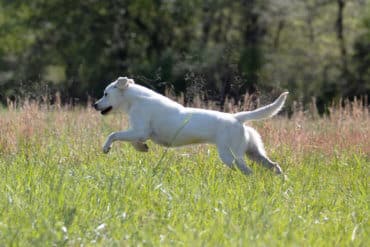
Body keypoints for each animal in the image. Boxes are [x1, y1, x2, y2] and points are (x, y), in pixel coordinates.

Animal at [93, 76, 290, 175]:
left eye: (105, 94)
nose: (95, 105)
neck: (135, 100)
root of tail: (237, 118)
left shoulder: (139, 130)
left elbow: (113, 134)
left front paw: (106, 148)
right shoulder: (139, 132)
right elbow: (132, 141)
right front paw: (142, 148)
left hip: (231, 156)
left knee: (249, 171)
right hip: (253, 152)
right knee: (274, 165)